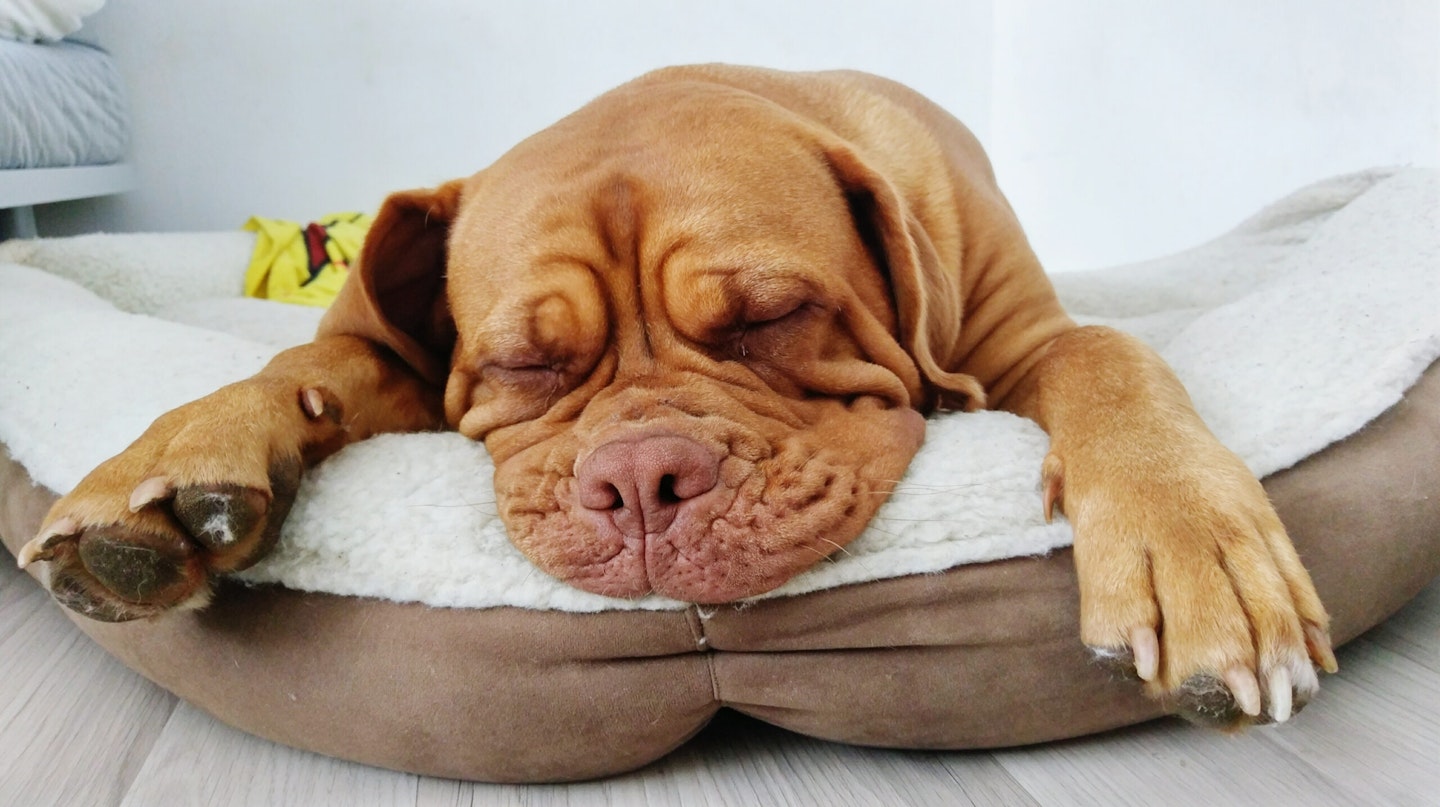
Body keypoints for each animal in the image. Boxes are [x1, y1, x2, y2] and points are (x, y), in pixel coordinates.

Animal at [16, 66, 1330, 729]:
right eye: (522, 366)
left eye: (770, 317)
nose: (641, 481)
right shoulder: (401, 362)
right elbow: (312, 368)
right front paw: (170, 470)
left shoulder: (1030, 334)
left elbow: (1110, 356)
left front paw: (1194, 552)